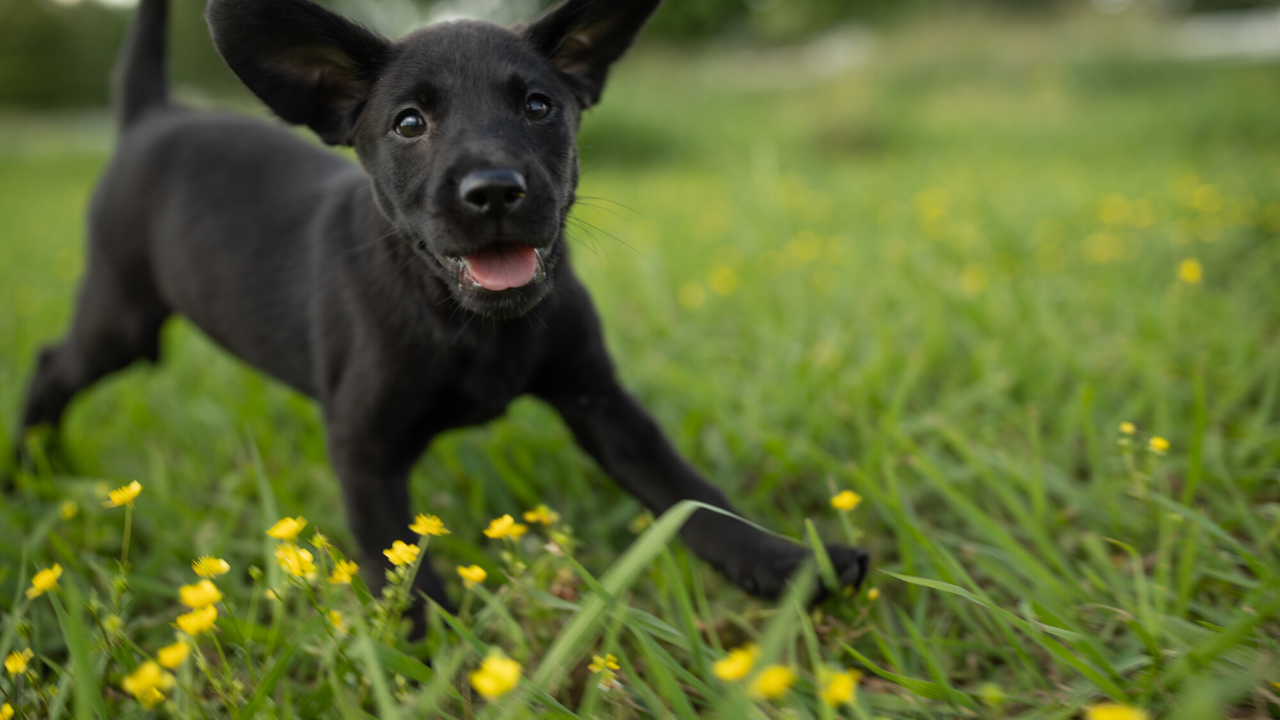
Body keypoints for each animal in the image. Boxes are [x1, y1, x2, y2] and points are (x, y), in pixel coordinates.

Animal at [17, 0, 870, 609]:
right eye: (409, 123)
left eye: (538, 107)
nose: (493, 191)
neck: (469, 322)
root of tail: (153, 116)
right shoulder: (363, 446)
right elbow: (402, 572)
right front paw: (435, 662)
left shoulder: (602, 402)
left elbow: (689, 494)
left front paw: (788, 563)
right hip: (119, 316)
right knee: (52, 363)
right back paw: (32, 469)